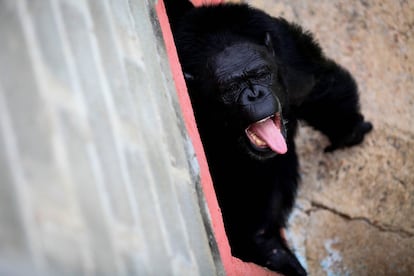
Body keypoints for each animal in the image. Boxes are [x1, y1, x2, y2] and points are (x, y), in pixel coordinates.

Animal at [164, 1, 372, 274]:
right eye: (231, 87)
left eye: (261, 74)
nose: (255, 94)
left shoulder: (292, 60)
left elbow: (319, 84)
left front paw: (350, 129)